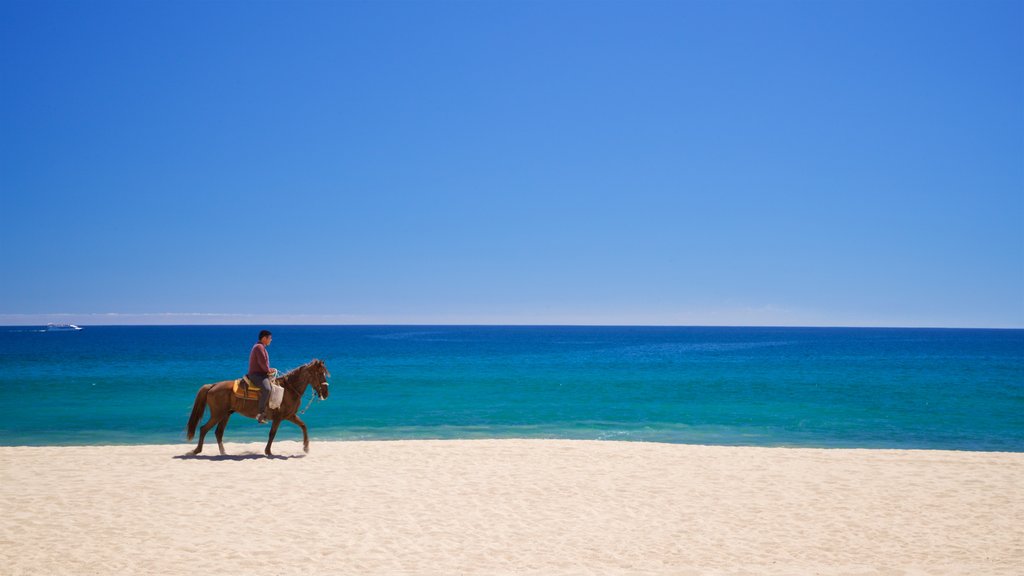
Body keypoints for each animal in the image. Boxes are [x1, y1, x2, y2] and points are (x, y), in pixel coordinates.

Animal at [184, 356, 327, 455]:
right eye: (320, 374)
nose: (326, 393)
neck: (288, 389)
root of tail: (213, 385)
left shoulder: (290, 416)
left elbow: (303, 426)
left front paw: (306, 447)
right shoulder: (279, 417)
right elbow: (272, 434)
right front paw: (268, 451)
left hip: (226, 414)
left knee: (218, 432)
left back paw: (223, 452)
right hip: (217, 414)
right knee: (204, 429)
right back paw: (197, 450)